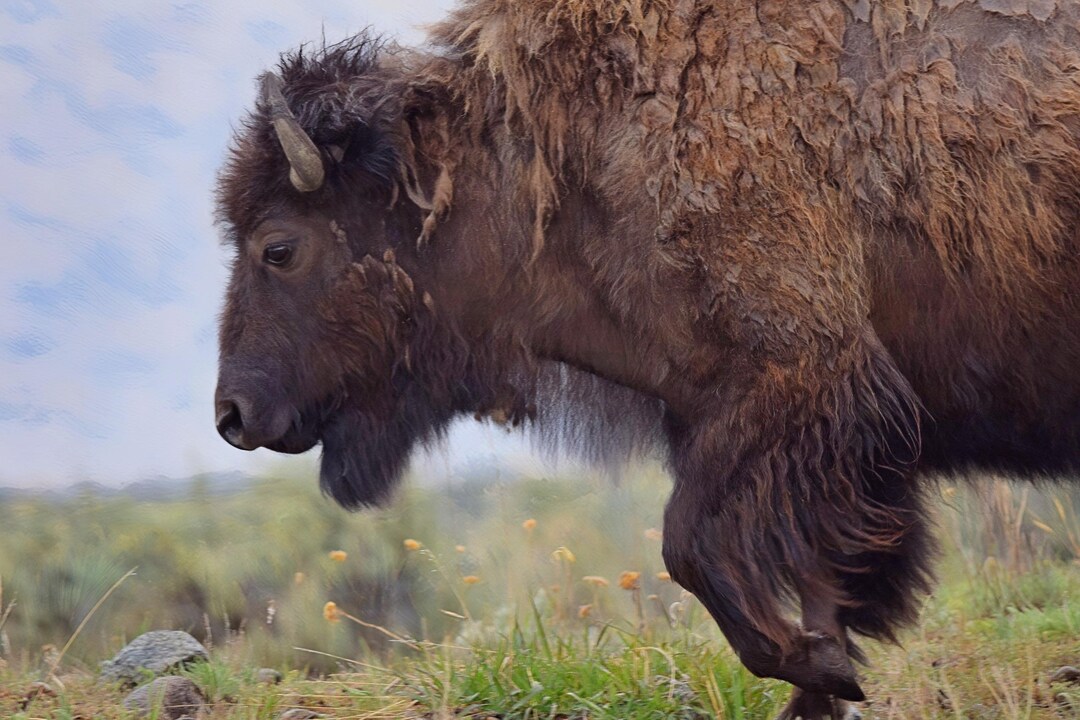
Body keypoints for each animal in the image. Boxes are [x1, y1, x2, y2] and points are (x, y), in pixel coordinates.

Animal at [214, 1, 1080, 717]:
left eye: (278, 247)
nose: (232, 415)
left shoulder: (799, 381)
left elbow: (688, 545)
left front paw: (821, 666)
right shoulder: (762, 426)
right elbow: (806, 573)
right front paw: (825, 674)